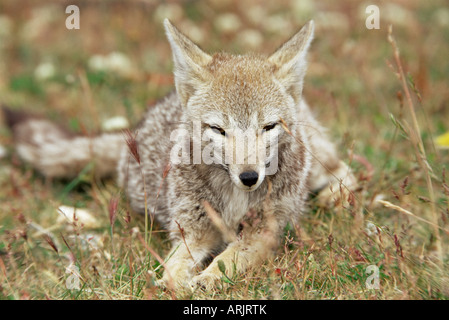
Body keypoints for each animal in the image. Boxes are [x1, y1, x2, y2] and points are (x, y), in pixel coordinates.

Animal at [2, 19, 356, 290]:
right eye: (218, 129)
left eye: (268, 127)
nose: (249, 177)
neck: (234, 197)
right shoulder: (191, 232)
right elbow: (173, 267)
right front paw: (173, 284)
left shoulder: (263, 233)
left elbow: (228, 260)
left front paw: (207, 280)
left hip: (318, 164)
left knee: (344, 170)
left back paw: (335, 195)